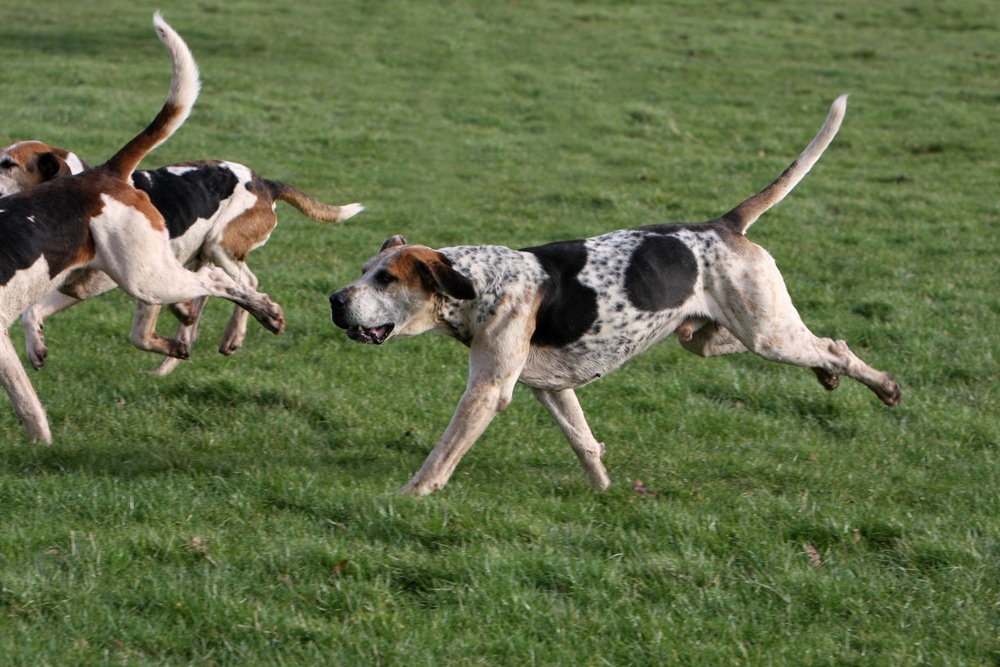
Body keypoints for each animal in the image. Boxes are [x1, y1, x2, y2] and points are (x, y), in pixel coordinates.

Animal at [0, 143, 364, 376]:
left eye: (8, 164)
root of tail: (266, 183)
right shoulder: (80, 284)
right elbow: (32, 312)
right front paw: (36, 347)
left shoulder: (133, 285)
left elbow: (140, 334)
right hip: (201, 257)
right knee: (213, 296)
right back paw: (177, 353)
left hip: (218, 245)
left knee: (248, 283)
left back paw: (233, 335)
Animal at [330, 96, 908, 498]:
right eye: (362, 272)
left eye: (386, 280)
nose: (334, 299)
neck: (479, 282)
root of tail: (724, 225)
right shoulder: (552, 387)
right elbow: (585, 442)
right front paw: (607, 492)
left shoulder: (488, 392)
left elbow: (442, 453)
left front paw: (411, 495)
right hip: (713, 336)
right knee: (819, 345)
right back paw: (829, 376)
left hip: (768, 335)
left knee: (833, 345)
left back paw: (881, 386)